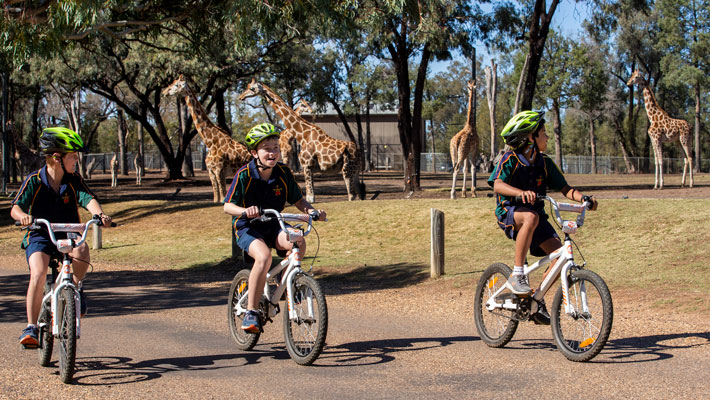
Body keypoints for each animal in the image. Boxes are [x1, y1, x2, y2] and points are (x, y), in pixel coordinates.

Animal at [163, 74, 253, 202]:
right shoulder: (211, 172)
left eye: (176, 85)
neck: (210, 142)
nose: (164, 92)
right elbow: (216, 198)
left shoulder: (219, 171)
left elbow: (222, 198)